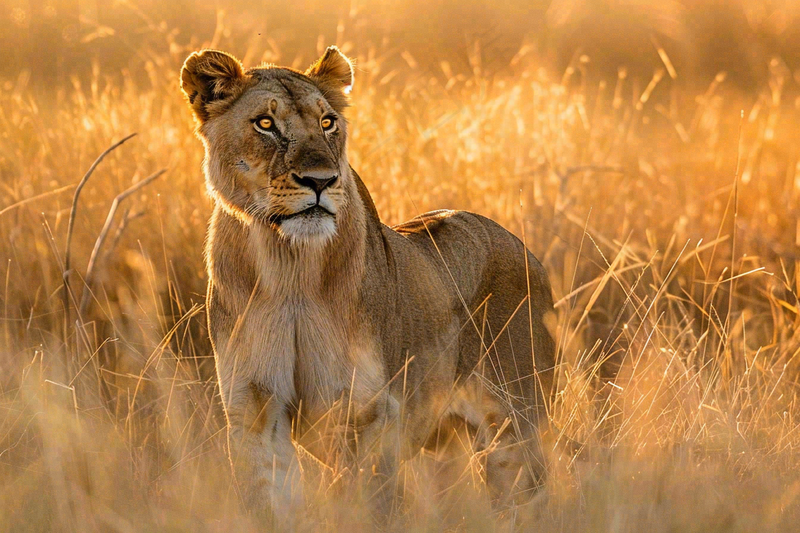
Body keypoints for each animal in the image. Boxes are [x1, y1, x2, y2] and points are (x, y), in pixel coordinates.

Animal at [180, 44, 556, 520]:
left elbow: (365, 503)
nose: (321, 181)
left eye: (327, 122)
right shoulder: (254, 408)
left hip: (513, 426)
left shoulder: (368, 412)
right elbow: (270, 502)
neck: (289, 268)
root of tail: (525, 249)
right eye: (265, 124)